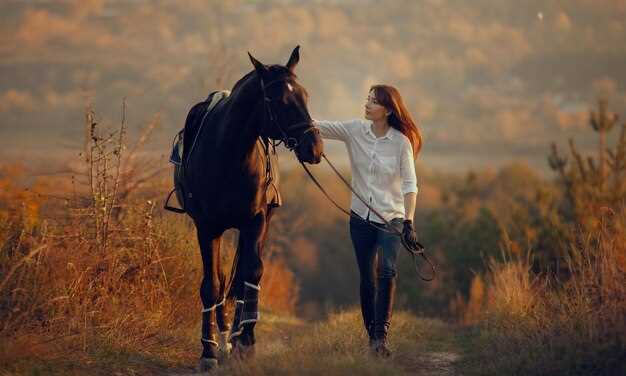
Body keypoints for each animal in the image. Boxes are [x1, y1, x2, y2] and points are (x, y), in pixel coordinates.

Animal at [169, 47, 320, 370]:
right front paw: (209, 351)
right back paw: (226, 337)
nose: (314, 148)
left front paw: (246, 342)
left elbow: (250, 274)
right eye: (280, 100)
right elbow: (212, 284)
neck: (228, 155)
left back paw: (236, 337)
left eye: (305, 95)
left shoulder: (256, 222)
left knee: (241, 279)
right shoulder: (207, 227)